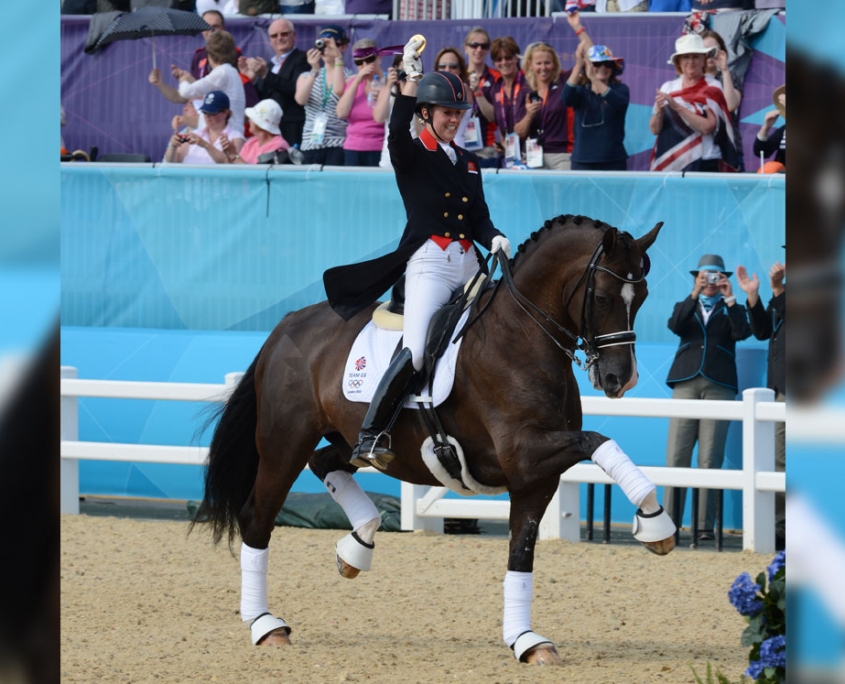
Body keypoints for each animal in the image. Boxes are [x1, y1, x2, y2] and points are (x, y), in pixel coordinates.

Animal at [191, 214, 672, 664]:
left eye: (644, 297)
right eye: (603, 297)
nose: (620, 380)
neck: (521, 335)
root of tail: (287, 326)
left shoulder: (535, 477)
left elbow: (521, 554)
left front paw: (526, 641)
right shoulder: (523, 454)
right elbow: (598, 440)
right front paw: (655, 523)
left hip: (355, 442)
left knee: (326, 463)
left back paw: (356, 546)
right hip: (284, 443)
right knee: (258, 518)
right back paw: (265, 624)